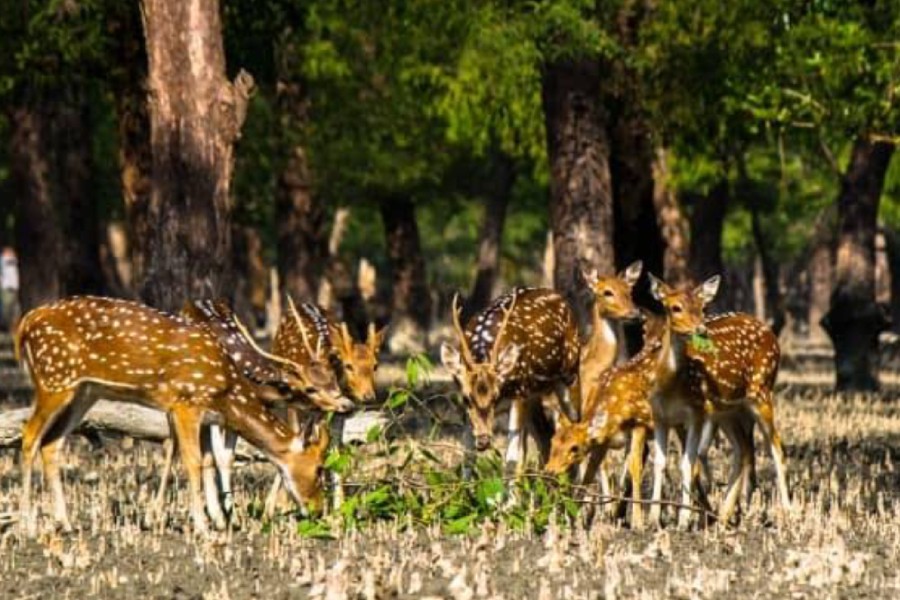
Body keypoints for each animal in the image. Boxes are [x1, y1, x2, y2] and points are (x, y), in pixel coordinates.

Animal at [14, 296, 332, 535]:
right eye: (318, 468)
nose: (318, 509)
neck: (226, 388)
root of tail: (26, 322)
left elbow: (203, 459)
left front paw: (215, 520)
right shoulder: (185, 401)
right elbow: (193, 461)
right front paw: (202, 526)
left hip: (84, 391)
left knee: (51, 443)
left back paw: (65, 523)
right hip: (54, 379)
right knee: (29, 437)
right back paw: (27, 526)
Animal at [441, 288, 581, 473]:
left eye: (495, 396)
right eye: (466, 398)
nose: (483, 440)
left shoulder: (519, 395)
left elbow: (511, 461)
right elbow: (468, 460)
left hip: (571, 373)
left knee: (580, 424)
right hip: (533, 394)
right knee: (546, 435)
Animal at [647, 274, 786, 528]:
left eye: (702, 307)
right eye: (675, 307)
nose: (701, 329)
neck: (669, 385)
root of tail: (772, 334)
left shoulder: (696, 412)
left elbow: (686, 463)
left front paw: (683, 520)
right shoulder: (660, 416)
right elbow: (659, 463)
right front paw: (653, 519)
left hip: (762, 391)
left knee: (776, 447)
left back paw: (790, 513)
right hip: (727, 410)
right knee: (743, 449)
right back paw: (724, 514)